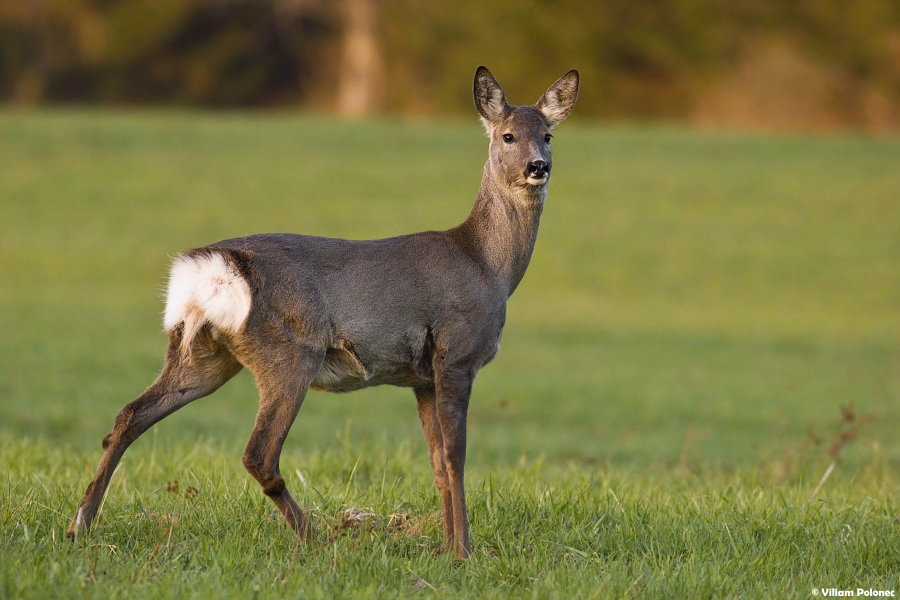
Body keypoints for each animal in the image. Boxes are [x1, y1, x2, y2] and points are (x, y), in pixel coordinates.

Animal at [68, 68, 576, 560]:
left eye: (548, 135)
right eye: (508, 135)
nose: (538, 166)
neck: (487, 266)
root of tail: (214, 267)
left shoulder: (422, 376)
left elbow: (435, 462)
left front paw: (448, 548)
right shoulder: (457, 354)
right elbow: (456, 457)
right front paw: (464, 554)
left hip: (201, 354)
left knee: (128, 417)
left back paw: (80, 526)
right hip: (291, 351)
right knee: (258, 453)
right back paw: (317, 541)